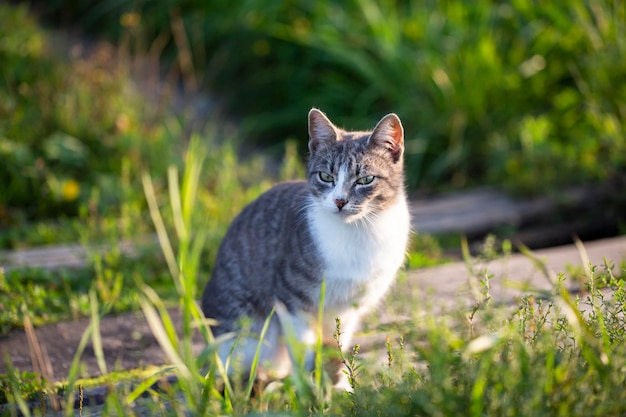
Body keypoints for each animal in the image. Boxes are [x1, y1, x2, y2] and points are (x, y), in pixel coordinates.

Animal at [201, 108, 410, 384]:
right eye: (326, 177)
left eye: (365, 179)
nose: (340, 201)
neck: (357, 232)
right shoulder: (292, 300)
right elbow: (303, 350)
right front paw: (311, 385)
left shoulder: (348, 309)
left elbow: (337, 348)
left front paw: (339, 385)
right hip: (246, 330)